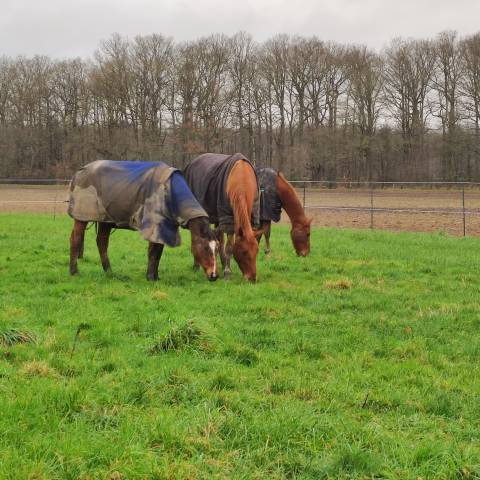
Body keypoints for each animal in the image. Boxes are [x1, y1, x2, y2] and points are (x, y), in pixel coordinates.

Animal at [186, 153, 264, 282]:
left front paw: (225, 268)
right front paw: (227, 273)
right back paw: (196, 265)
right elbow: (229, 248)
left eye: (257, 251)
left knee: (219, 239)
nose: (252, 278)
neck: (241, 177)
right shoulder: (228, 218)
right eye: (244, 252)